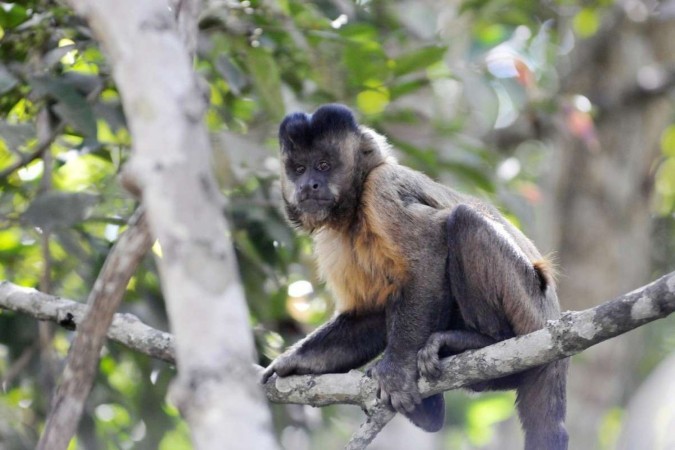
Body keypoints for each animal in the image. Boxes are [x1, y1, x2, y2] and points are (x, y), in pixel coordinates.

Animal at [262, 103, 568, 450]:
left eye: (324, 166)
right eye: (299, 169)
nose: (309, 185)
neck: (354, 213)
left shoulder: (381, 189)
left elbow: (429, 256)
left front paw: (395, 372)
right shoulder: (333, 241)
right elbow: (368, 315)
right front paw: (293, 362)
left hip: (528, 303)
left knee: (463, 221)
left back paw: (485, 341)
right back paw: (430, 412)